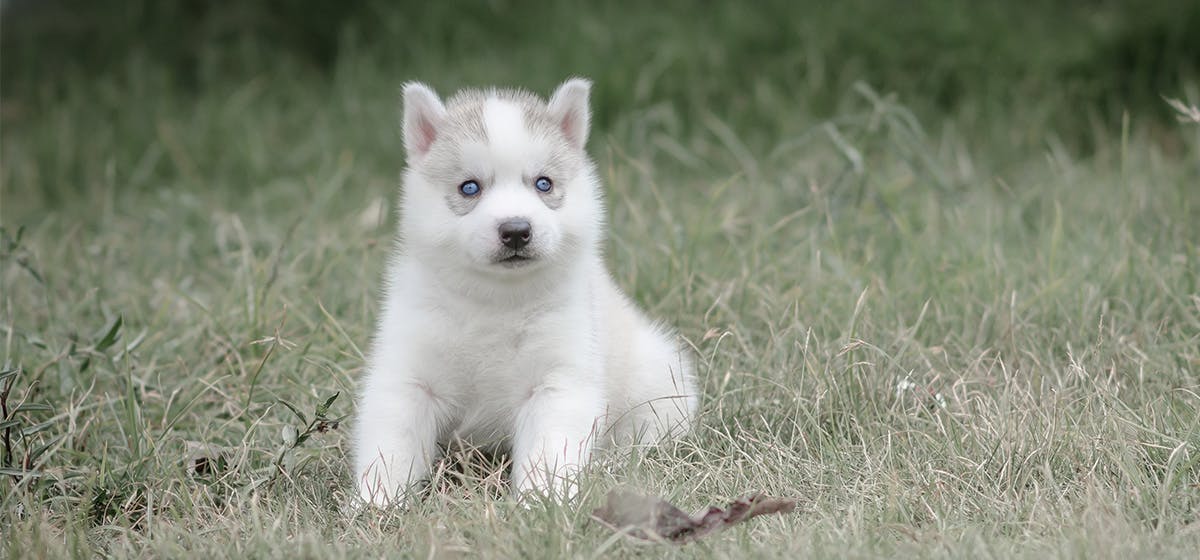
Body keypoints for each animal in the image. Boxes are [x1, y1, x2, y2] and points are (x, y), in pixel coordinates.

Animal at [350, 76, 700, 506]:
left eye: (543, 184)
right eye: (470, 187)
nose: (516, 229)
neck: (494, 300)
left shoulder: (557, 380)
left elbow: (548, 449)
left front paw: (541, 502)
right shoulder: (408, 375)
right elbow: (391, 444)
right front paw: (375, 503)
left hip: (659, 381)